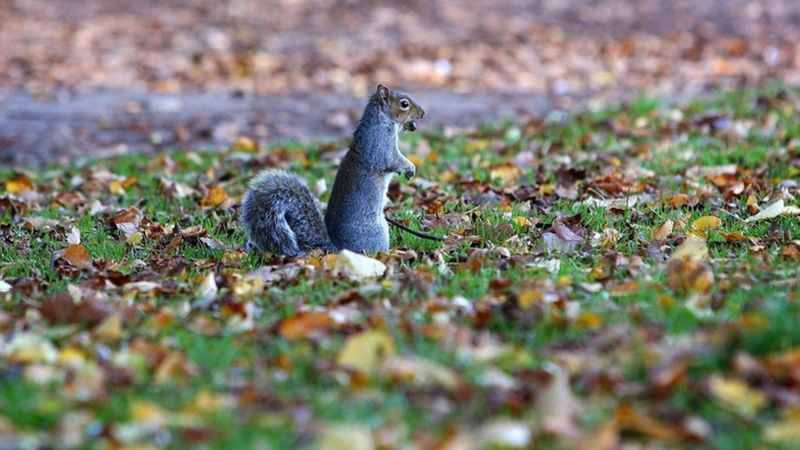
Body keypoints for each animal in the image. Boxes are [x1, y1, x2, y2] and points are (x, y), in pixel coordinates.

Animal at [238, 82, 424, 255]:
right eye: (404, 104)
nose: (422, 113)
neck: (382, 120)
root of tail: (338, 248)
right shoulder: (381, 145)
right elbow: (392, 160)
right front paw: (409, 167)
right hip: (378, 231)